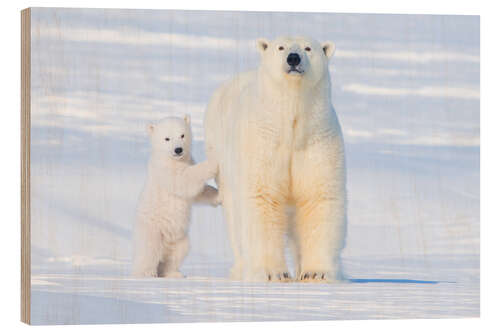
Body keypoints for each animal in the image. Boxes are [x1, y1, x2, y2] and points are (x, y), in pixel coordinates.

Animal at [205, 35, 346, 280]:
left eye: (308, 48)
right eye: (281, 47)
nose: (293, 58)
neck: (290, 125)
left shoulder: (317, 141)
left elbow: (318, 197)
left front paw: (315, 273)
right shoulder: (262, 142)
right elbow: (262, 197)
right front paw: (273, 273)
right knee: (234, 216)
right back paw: (241, 269)